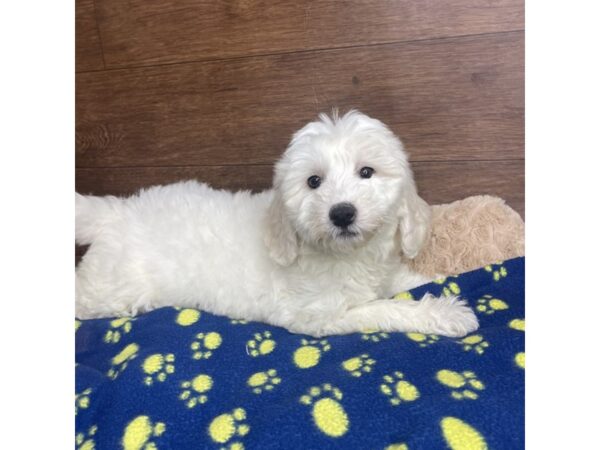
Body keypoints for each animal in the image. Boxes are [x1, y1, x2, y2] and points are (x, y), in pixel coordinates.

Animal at [75, 110, 478, 338]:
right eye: (314, 181)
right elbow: (381, 309)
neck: (347, 254)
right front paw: (444, 313)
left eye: (367, 172)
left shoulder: (380, 272)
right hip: (108, 288)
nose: (342, 213)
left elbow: (406, 280)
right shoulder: (318, 315)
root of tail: (116, 210)